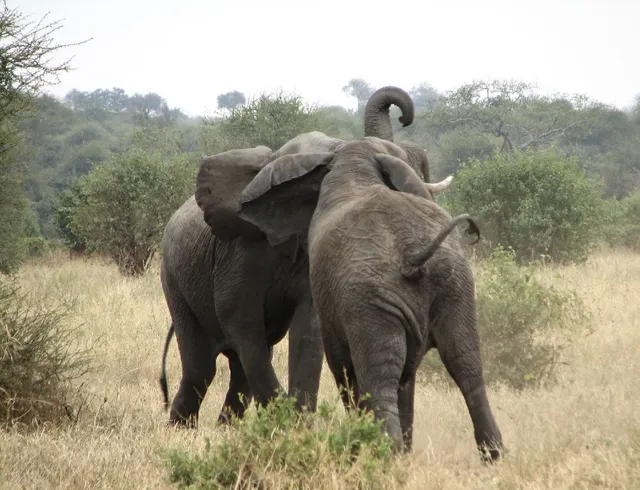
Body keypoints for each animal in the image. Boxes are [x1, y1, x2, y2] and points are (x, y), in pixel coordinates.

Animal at [238, 136, 508, 462]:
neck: (357, 161)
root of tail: (413, 255)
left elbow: (343, 365)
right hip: (452, 286)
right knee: (465, 363)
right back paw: (493, 456)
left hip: (373, 299)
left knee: (379, 377)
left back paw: (387, 453)